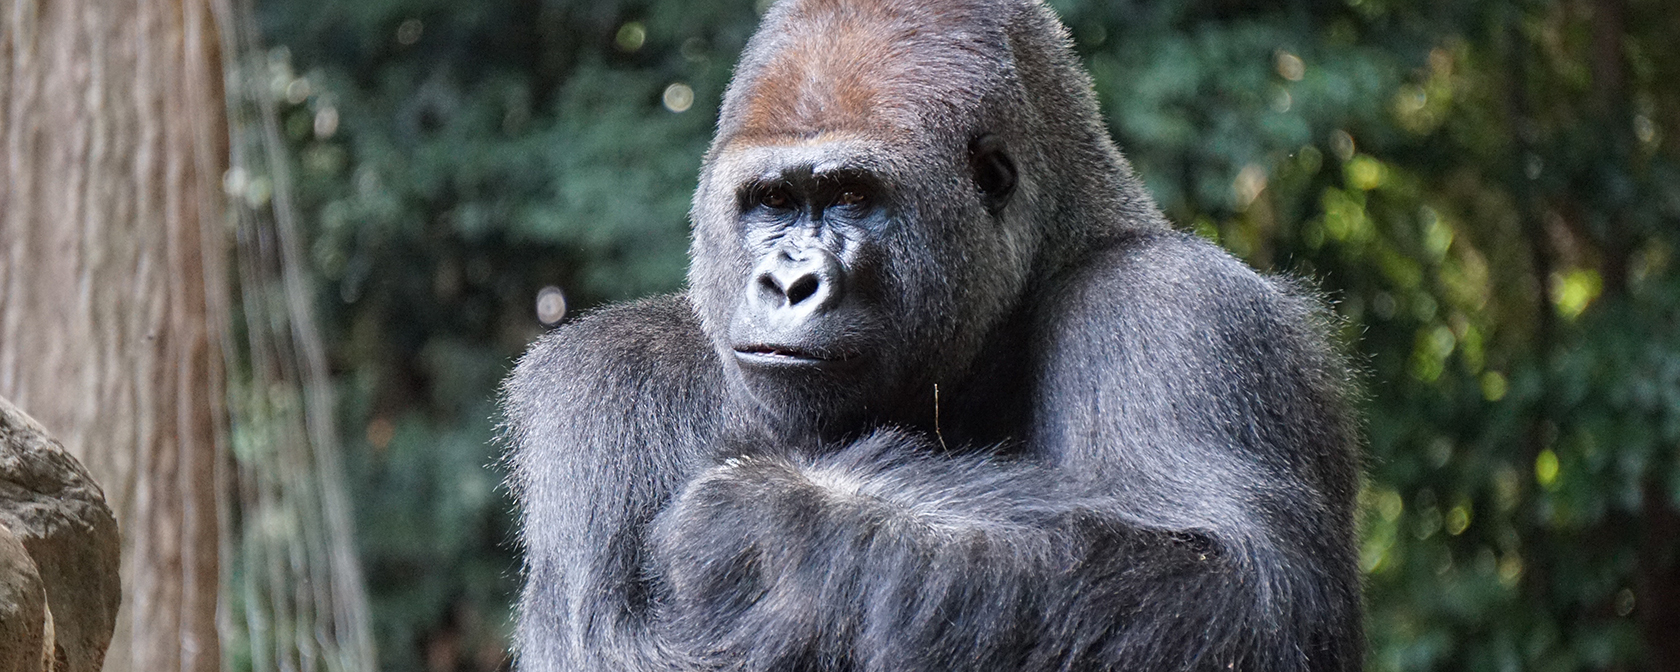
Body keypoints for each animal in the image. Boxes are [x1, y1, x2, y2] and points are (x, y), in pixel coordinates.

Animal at [500, 1, 1364, 672]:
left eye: (852, 196)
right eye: (773, 201)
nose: (788, 283)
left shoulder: (1179, 306)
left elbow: (1240, 589)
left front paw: (770, 516)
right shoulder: (607, 378)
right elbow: (615, 643)